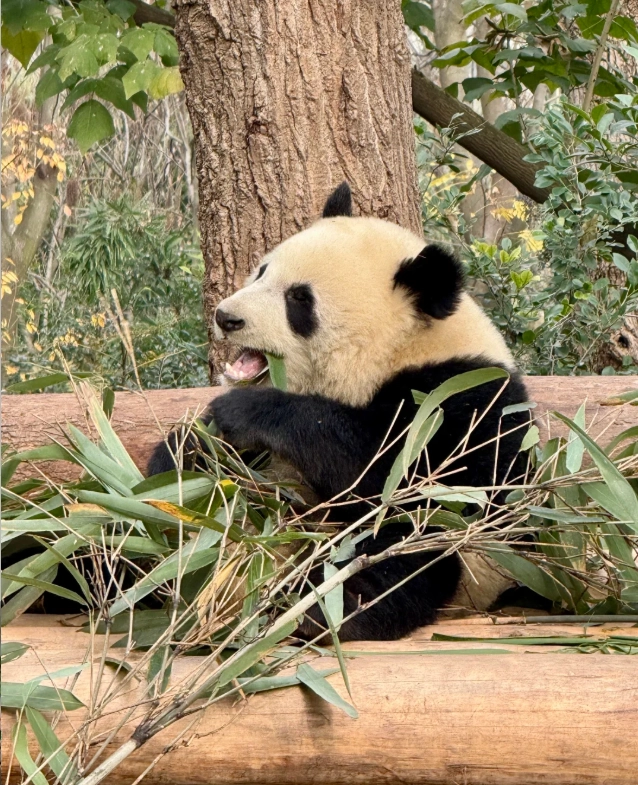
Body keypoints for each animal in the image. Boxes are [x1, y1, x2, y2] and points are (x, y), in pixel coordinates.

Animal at [148, 182, 530, 641]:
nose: (227, 317)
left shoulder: (461, 398)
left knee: (408, 550)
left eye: (299, 299)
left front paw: (243, 412)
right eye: (261, 272)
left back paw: (322, 605)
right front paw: (187, 452)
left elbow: (389, 476)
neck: (403, 349)